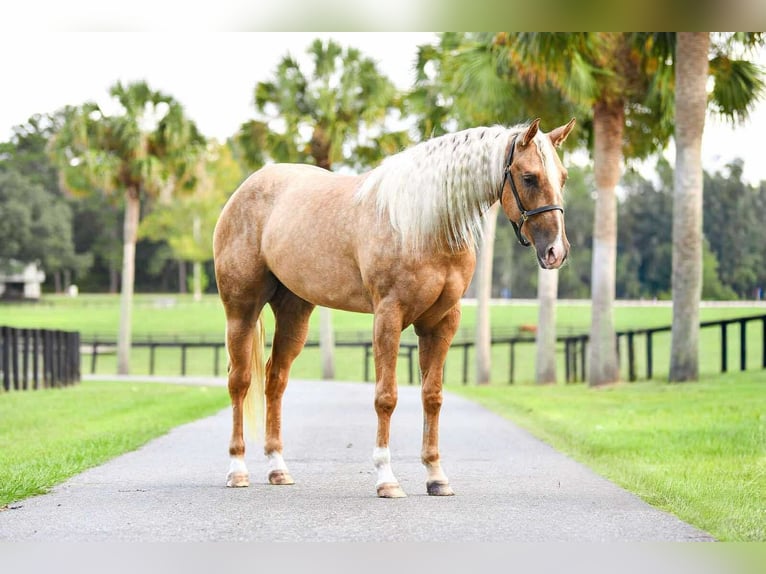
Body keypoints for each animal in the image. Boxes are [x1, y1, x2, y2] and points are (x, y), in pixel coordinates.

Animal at [213, 117, 576, 498]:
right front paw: (387, 479)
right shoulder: (388, 316)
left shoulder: (441, 322)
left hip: (294, 312)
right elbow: (386, 397)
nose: (556, 251)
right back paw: (237, 469)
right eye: (529, 177)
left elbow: (432, 395)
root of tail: (246, 188)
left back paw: (277, 468)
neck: (424, 225)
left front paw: (436, 476)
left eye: (563, 177)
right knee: (240, 381)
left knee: (275, 380)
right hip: (241, 310)